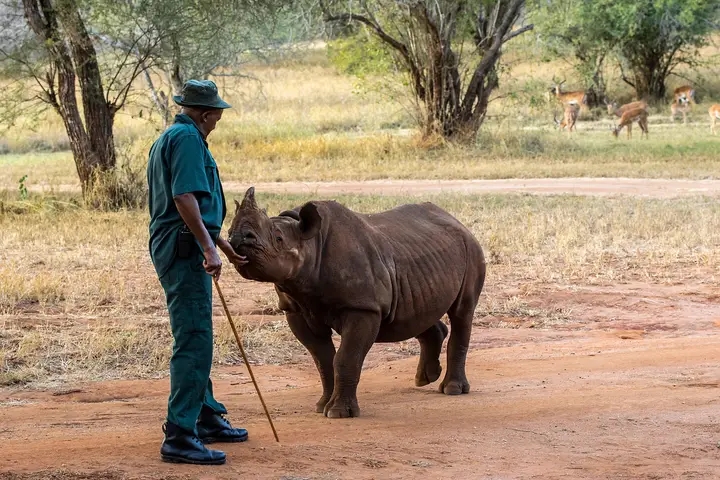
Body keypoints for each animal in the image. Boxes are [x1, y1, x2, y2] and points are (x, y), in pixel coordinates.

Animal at [228, 187, 486, 418]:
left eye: (278, 239)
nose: (237, 238)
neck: (311, 243)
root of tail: (457, 221)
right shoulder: (296, 309)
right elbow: (323, 359)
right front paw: (322, 406)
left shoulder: (362, 307)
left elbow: (345, 358)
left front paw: (339, 413)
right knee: (415, 313)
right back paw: (424, 379)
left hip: (471, 249)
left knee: (462, 311)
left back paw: (452, 389)